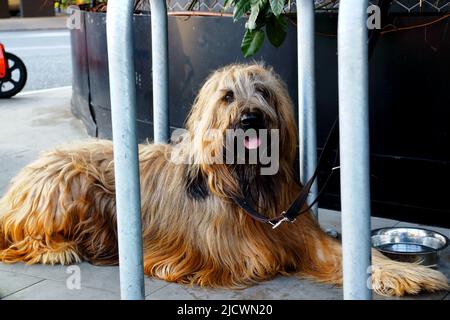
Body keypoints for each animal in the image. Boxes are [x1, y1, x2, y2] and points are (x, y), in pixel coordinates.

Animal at [0, 63, 448, 296]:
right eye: (228, 96)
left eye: (264, 92)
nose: (250, 118)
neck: (247, 184)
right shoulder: (226, 252)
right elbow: (257, 257)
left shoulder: (298, 230)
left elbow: (346, 253)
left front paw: (408, 273)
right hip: (72, 181)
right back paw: (59, 249)